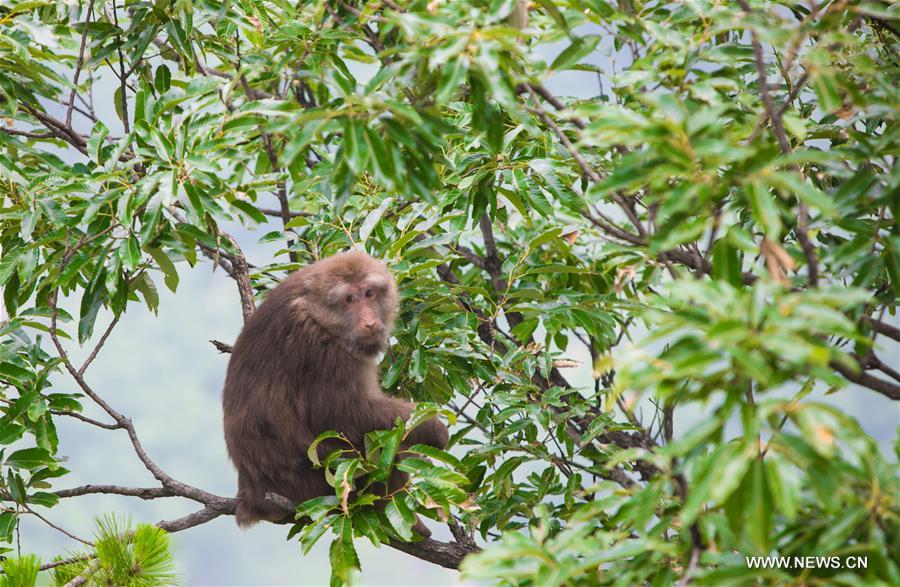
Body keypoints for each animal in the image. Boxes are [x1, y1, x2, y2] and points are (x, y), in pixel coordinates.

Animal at [223, 250, 448, 536]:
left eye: (369, 293)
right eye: (349, 299)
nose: (370, 322)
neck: (317, 313)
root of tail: (252, 496)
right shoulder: (322, 349)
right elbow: (344, 416)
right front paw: (434, 428)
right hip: (314, 483)